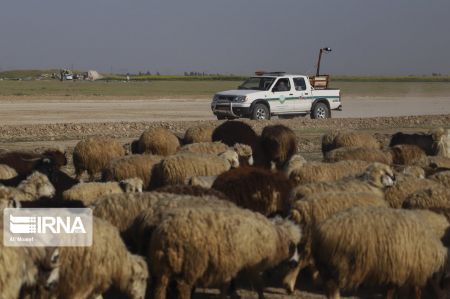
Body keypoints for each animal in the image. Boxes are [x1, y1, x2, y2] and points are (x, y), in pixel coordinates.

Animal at [149, 207, 302, 299]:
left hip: (163, 265)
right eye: (294, 246)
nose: (295, 263)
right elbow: (259, 284)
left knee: (160, 287)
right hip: (192, 264)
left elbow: (225, 286)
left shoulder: (230, 265)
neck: (274, 237)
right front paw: (262, 297)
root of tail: (165, 233)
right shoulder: (251, 265)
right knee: (183, 287)